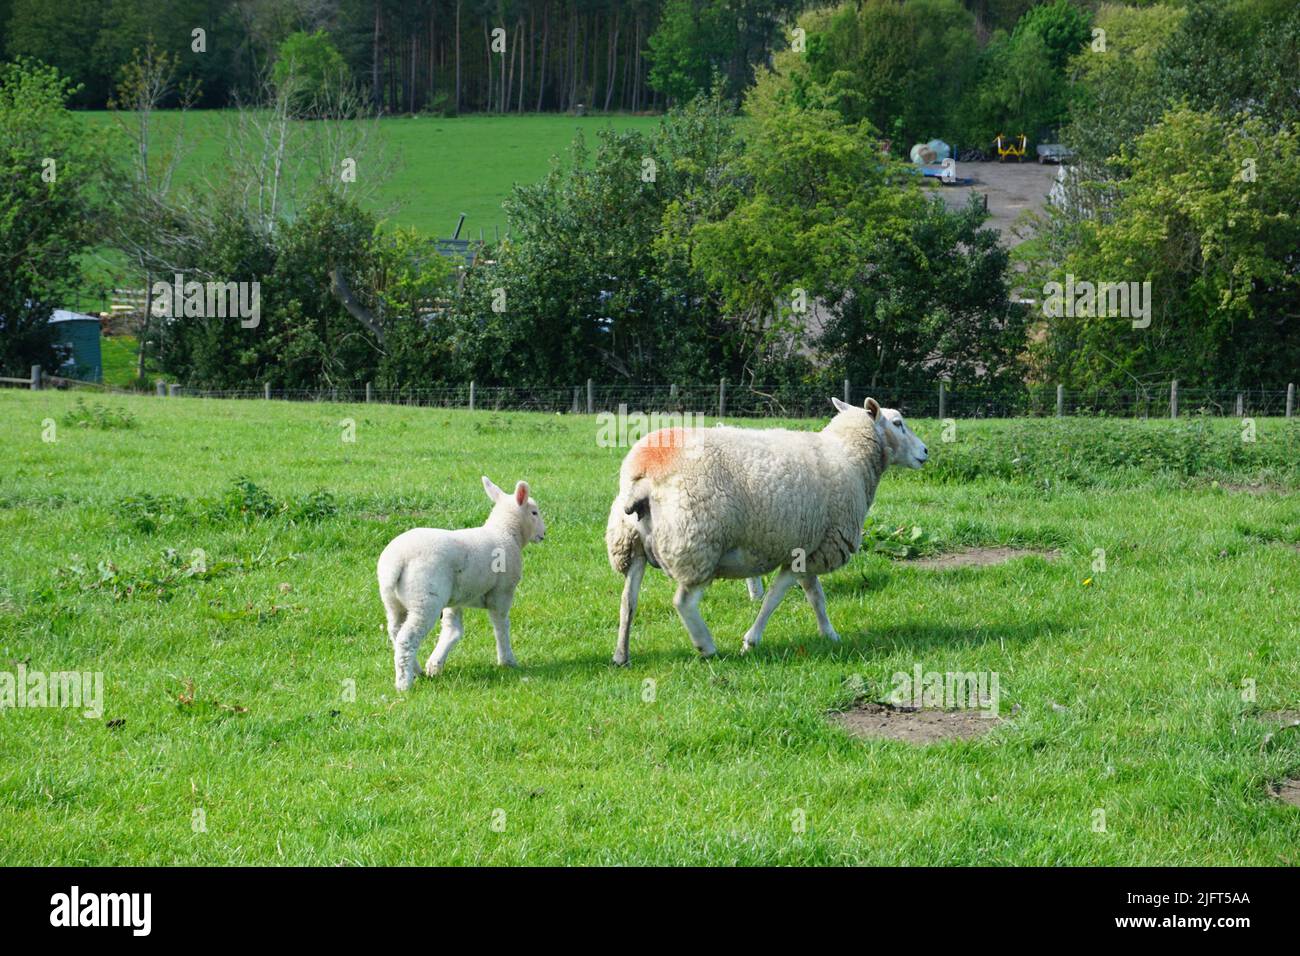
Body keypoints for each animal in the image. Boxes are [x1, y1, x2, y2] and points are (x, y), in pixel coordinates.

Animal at [378, 476, 546, 690]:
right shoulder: (502, 592)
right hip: (425, 599)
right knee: (407, 638)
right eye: (534, 513)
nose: (543, 534)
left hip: (393, 601)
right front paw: (507, 660)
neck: (506, 532)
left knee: (395, 631)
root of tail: (396, 561)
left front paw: (435, 664)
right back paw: (404, 684)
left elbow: (453, 630)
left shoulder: (456, 598)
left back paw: (416, 670)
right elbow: (501, 626)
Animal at [605, 397, 927, 664]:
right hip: (697, 544)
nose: (925, 451)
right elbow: (775, 597)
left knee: (627, 600)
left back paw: (621, 655)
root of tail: (644, 477)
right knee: (683, 602)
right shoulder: (812, 548)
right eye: (898, 423)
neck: (849, 455)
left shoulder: (810, 545)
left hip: (630, 545)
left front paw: (830, 634)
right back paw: (706, 646)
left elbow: (816, 596)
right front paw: (751, 640)